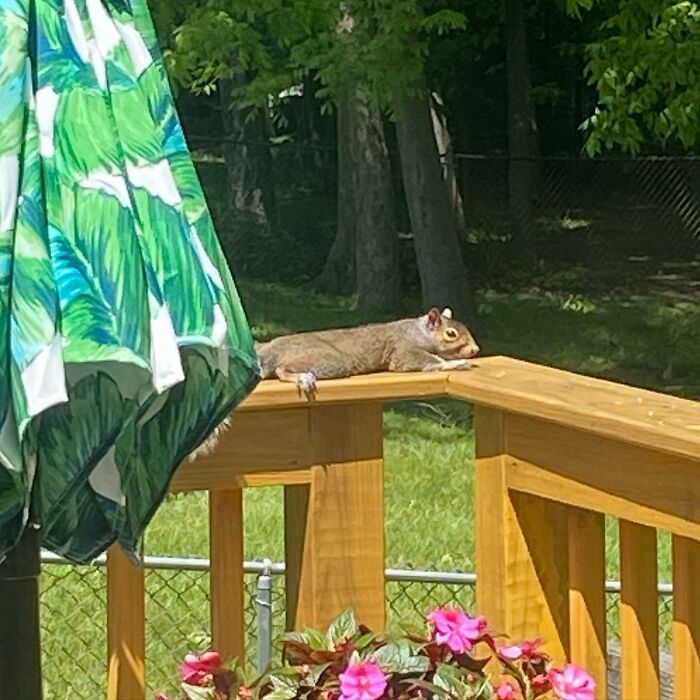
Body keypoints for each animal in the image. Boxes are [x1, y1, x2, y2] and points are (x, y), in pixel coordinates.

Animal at [256, 307, 480, 398]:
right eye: (451, 334)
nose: (475, 349)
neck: (419, 332)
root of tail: (272, 348)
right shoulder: (403, 350)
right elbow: (426, 361)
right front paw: (455, 364)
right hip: (330, 360)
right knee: (282, 370)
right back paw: (302, 377)